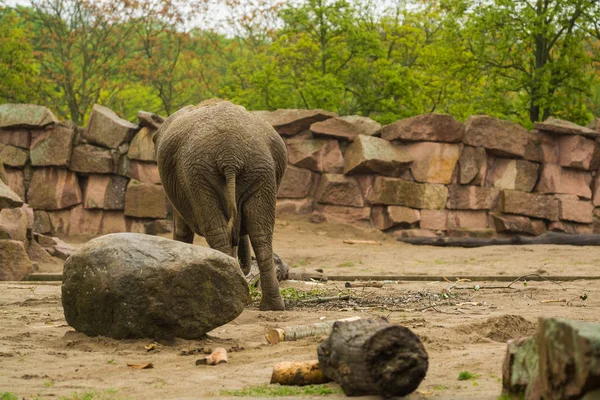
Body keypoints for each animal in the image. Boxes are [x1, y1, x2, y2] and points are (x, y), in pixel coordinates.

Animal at [154, 98, 288, 310]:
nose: (244, 266)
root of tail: (230, 157)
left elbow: (183, 229)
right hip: (256, 172)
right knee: (260, 234)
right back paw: (270, 306)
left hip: (201, 175)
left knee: (219, 231)